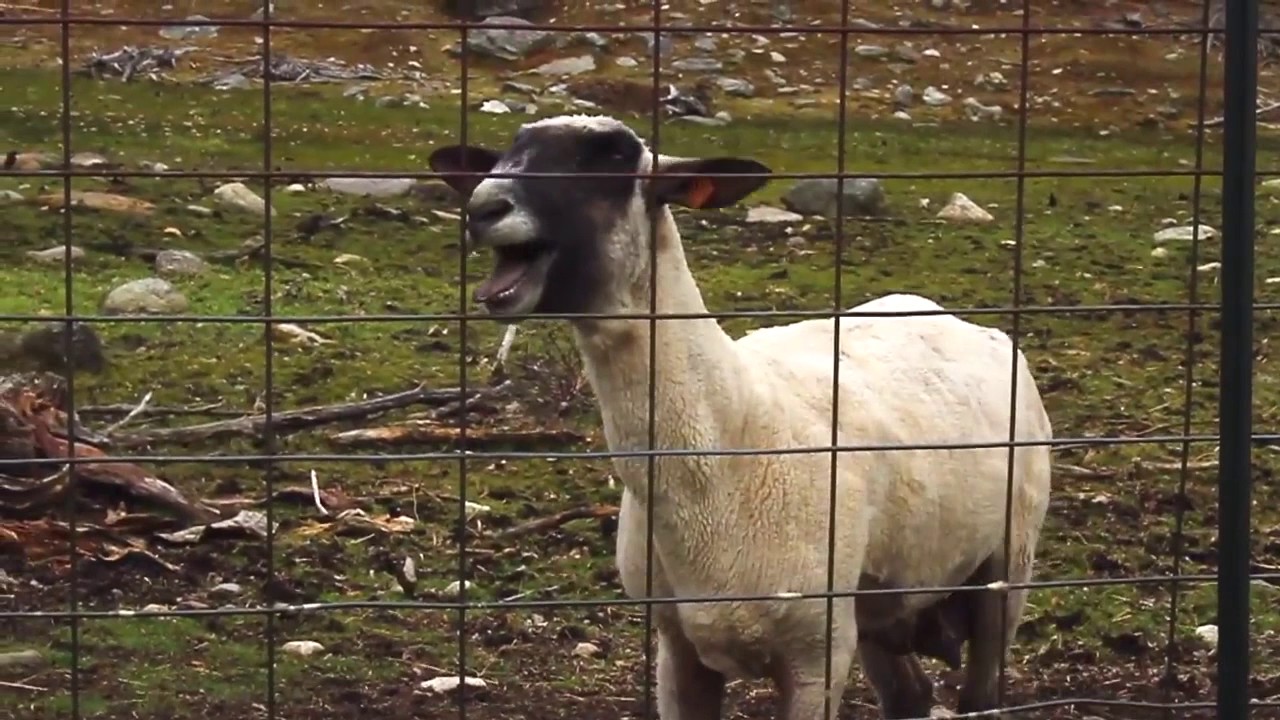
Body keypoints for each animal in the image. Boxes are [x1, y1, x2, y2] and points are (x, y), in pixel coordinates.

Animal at [428, 114, 1053, 720]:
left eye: (610, 160)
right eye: (510, 149)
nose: (483, 207)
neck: (728, 444)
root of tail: (946, 313)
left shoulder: (817, 654)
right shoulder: (678, 651)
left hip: (1008, 564)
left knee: (982, 691)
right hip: (880, 598)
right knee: (909, 699)